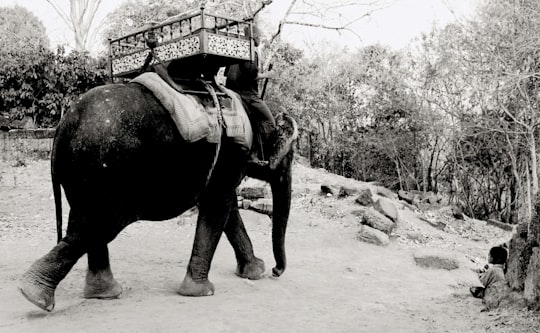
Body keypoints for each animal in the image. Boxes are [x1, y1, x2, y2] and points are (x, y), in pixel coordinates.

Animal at [19, 80, 298, 312]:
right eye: (291, 154)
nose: (276, 271)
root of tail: (62, 127)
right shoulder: (231, 154)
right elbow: (220, 206)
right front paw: (202, 292)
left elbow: (226, 210)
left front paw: (254, 272)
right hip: (106, 168)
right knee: (100, 226)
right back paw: (34, 294)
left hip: (82, 173)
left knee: (82, 222)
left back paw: (102, 293)